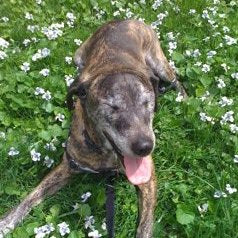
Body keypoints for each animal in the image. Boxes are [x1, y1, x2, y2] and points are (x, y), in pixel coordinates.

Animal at [0, 20, 187, 238]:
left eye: (146, 103)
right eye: (112, 107)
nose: (145, 147)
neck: (106, 153)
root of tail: (124, 20)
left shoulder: (148, 180)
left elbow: (145, 225)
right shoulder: (68, 165)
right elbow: (31, 197)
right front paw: (6, 222)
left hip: (159, 62)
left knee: (175, 79)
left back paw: (185, 99)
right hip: (77, 57)